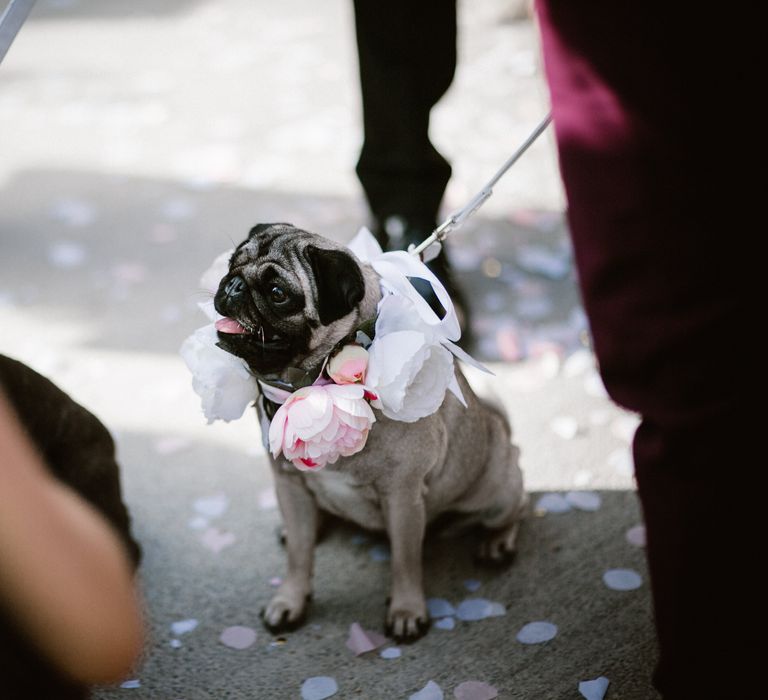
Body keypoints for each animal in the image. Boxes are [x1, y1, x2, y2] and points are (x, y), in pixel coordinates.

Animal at [213, 223, 524, 640]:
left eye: (278, 294)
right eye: (232, 263)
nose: (233, 285)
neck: (315, 386)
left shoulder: (402, 497)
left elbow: (405, 561)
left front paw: (407, 609)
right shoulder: (288, 483)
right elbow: (298, 557)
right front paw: (290, 600)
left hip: (499, 486)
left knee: (513, 511)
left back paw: (497, 543)